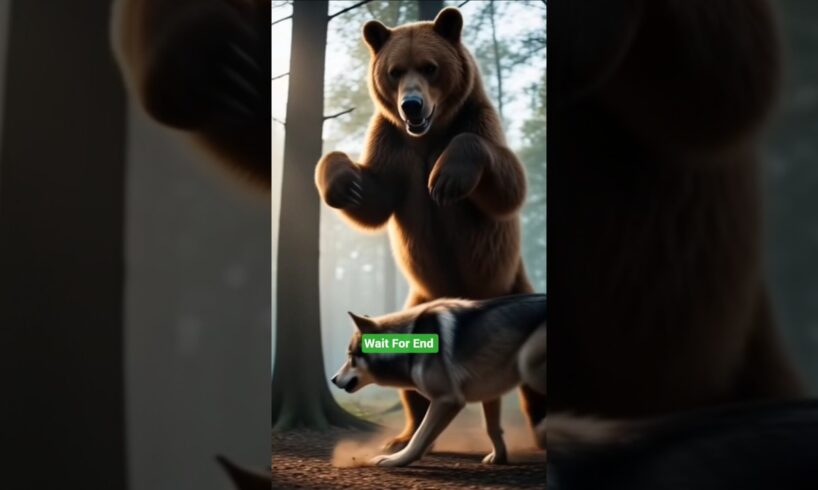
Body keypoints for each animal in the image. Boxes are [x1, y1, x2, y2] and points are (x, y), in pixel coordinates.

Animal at [314, 7, 543, 451]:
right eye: (394, 71)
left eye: (430, 67)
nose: (412, 106)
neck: (428, 136)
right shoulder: (392, 147)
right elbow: (373, 200)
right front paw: (344, 181)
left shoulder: (477, 122)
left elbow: (508, 187)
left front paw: (445, 179)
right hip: (417, 298)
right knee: (410, 382)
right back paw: (403, 435)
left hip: (511, 285)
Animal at [331, 294, 546, 467]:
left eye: (350, 357)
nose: (333, 379)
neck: (409, 347)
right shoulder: (489, 392)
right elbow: (491, 428)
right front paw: (499, 458)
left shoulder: (447, 400)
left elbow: (419, 437)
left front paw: (395, 461)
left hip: (528, 367)